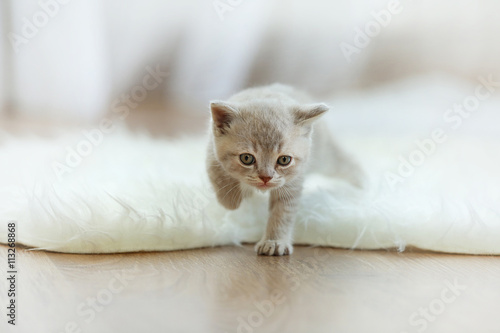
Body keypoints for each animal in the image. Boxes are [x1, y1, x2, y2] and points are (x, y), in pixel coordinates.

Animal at [205, 83, 362, 254]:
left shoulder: (293, 181)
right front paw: (232, 198)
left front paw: (273, 242)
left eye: (284, 160)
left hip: (326, 156)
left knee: (349, 164)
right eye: (246, 158)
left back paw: (362, 188)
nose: (265, 177)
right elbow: (218, 173)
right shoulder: (212, 147)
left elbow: (282, 213)